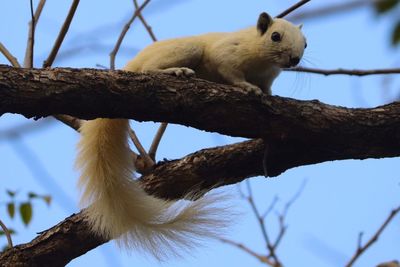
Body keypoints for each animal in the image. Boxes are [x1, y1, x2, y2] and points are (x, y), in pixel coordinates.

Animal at [76, 12, 306, 260]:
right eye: (275, 36)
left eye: (305, 43)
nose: (294, 59)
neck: (262, 59)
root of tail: (133, 63)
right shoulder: (227, 55)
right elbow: (231, 73)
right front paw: (248, 87)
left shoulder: (268, 77)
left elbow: (267, 88)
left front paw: (269, 95)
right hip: (188, 49)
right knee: (148, 69)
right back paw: (176, 71)